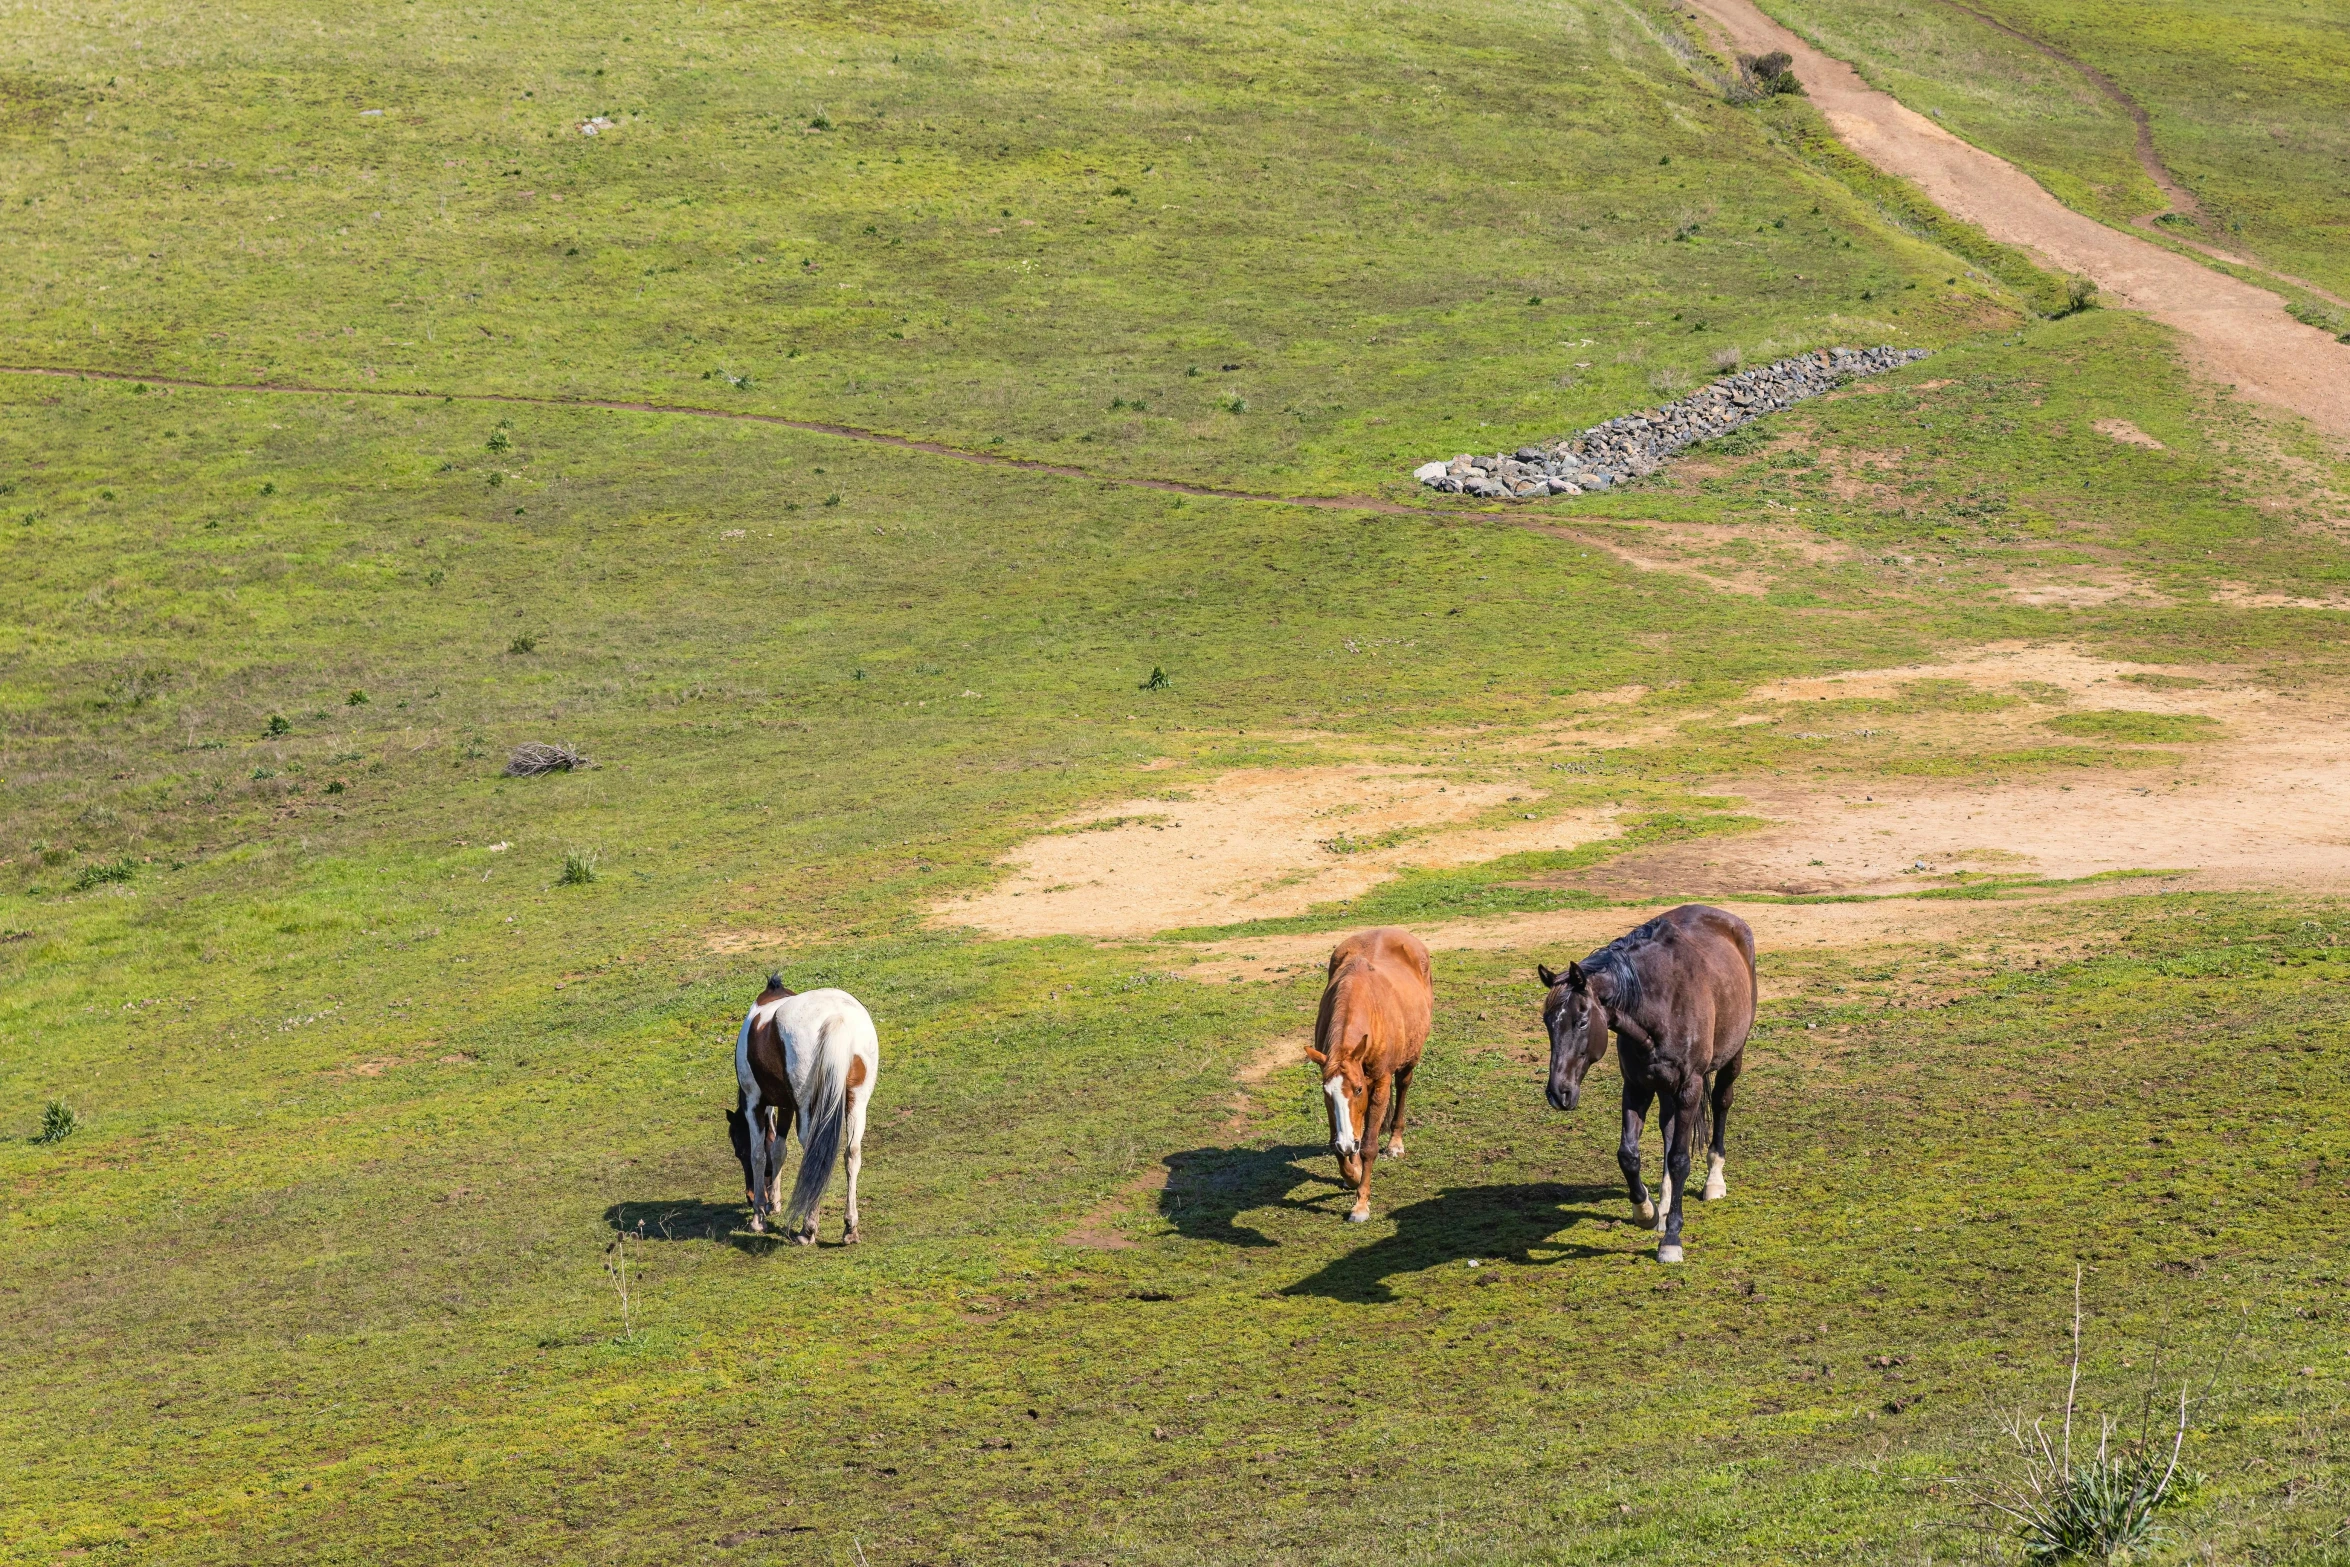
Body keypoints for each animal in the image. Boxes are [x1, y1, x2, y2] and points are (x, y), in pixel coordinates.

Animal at [723, 972, 883, 1240]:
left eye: (738, 1152)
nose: (749, 1197)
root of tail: (836, 1016)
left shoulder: (754, 1102)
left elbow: (759, 1154)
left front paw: (759, 1217)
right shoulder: (787, 1105)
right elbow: (778, 1149)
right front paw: (774, 1203)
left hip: (809, 1106)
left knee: (813, 1151)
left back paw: (808, 1229)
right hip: (857, 1100)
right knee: (852, 1152)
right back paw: (850, 1227)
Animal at [1306, 930, 1428, 1221]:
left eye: (1358, 1089)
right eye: (1326, 1093)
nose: (1348, 1145)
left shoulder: (1379, 1082)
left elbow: (1370, 1145)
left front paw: (1361, 1203)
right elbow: (1338, 1142)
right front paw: (1352, 1173)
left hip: (1408, 1062)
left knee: (1403, 1086)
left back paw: (1395, 1144)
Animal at [1532, 906, 1757, 1259]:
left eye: (1581, 1021)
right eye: (1547, 1022)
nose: (1559, 1093)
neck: (1660, 1004)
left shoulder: (1689, 1087)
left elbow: (1679, 1160)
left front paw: (1672, 1240)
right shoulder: (1637, 1086)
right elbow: (1629, 1155)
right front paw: (1647, 1213)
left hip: (1732, 1057)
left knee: (1721, 1102)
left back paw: (1713, 1182)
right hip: (1664, 1088)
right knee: (1668, 1127)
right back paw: (1662, 1208)